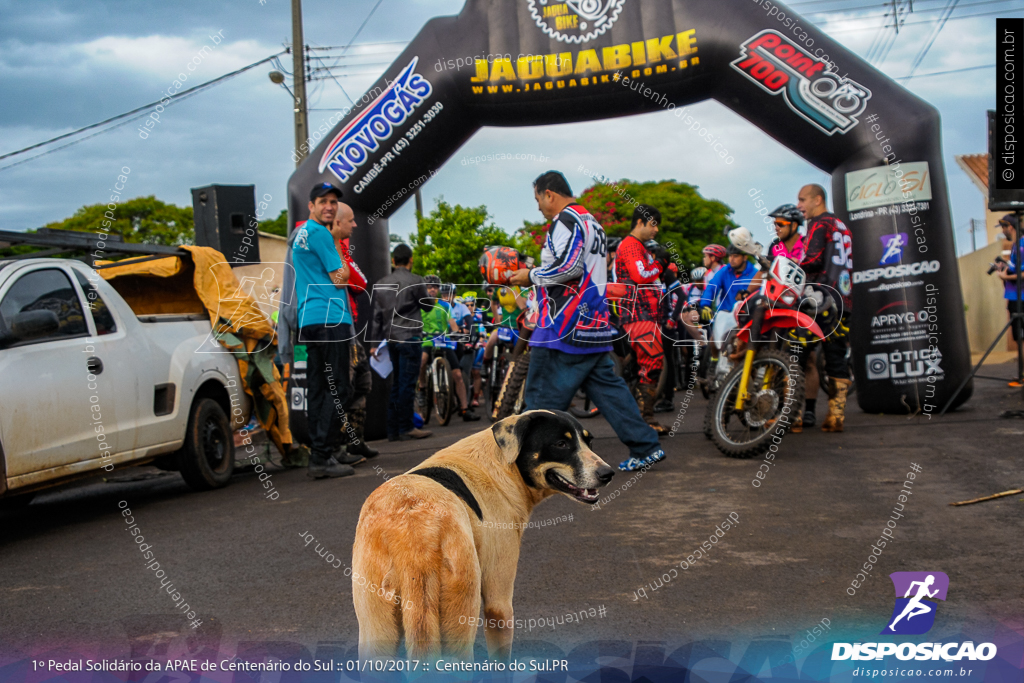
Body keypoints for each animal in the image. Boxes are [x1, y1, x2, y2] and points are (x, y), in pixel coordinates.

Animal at [352, 411, 610, 663]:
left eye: (589, 441)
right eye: (561, 444)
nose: (608, 473)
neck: (503, 465)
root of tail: (414, 532)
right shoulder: (499, 605)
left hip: (376, 632)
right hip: (460, 622)